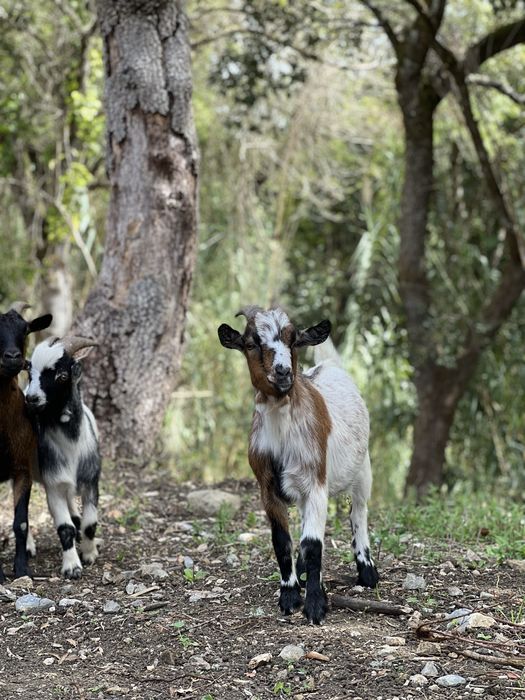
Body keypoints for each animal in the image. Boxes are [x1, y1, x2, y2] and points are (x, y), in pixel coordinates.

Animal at [25, 336, 100, 579]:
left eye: (62, 376)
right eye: (30, 373)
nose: (31, 398)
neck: (72, 446)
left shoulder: (90, 481)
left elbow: (90, 523)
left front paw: (89, 553)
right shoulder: (53, 485)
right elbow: (64, 528)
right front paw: (72, 567)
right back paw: (28, 546)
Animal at [218, 306, 379, 624]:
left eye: (293, 341)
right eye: (251, 343)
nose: (283, 372)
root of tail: (328, 366)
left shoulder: (316, 482)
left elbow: (314, 544)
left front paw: (315, 606)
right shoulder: (267, 488)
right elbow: (282, 541)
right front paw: (290, 595)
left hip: (362, 467)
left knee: (359, 511)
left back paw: (367, 570)